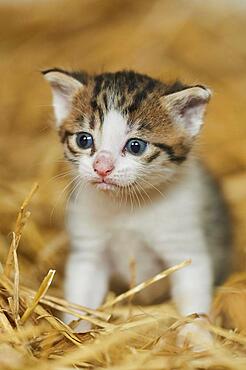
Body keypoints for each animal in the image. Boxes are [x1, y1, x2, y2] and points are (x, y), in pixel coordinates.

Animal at [42, 68, 231, 340]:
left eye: (135, 146)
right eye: (84, 140)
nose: (102, 167)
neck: (127, 206)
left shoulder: (185, 243)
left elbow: (193, 295)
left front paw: (198, 339)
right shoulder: (89, 250)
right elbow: (81, 296)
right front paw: (77, 334)